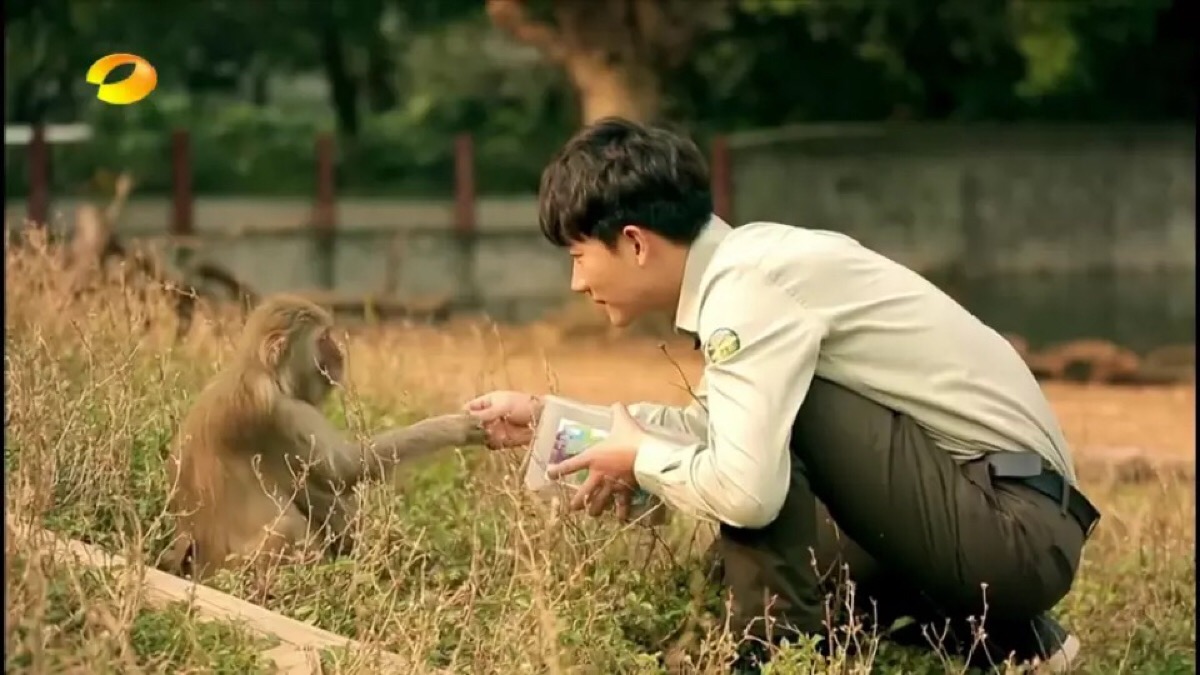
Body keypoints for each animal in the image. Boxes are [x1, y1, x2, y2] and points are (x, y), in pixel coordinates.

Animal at [162, 293, 484, 578]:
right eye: (323, 339)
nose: (339, 353)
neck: (263, 372)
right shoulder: (287, 411)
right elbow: (344, 471)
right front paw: (459, 426)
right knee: (287, 526)